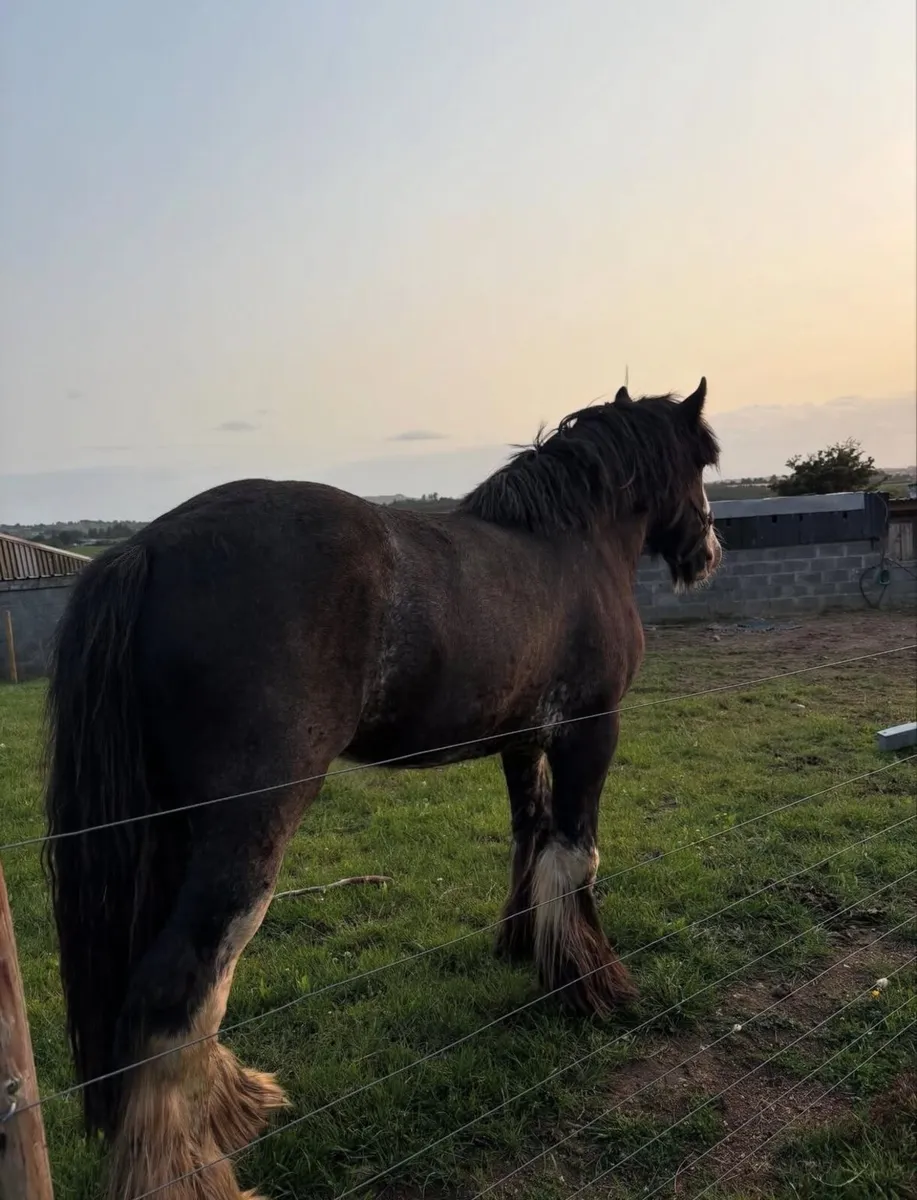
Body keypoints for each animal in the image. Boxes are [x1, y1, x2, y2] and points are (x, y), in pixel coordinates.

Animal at [45, 378, 720, 1200]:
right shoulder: (591, 732)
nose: (707, 553)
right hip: (245, 831)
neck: (570, 546)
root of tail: (144, 548)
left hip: (168, 830)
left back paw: (235, 1104)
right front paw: (591, 986)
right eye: (704, 462)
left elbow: (528, 839)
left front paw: (524, 946)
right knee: (177, 989)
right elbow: (576, 855)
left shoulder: (522, 741)